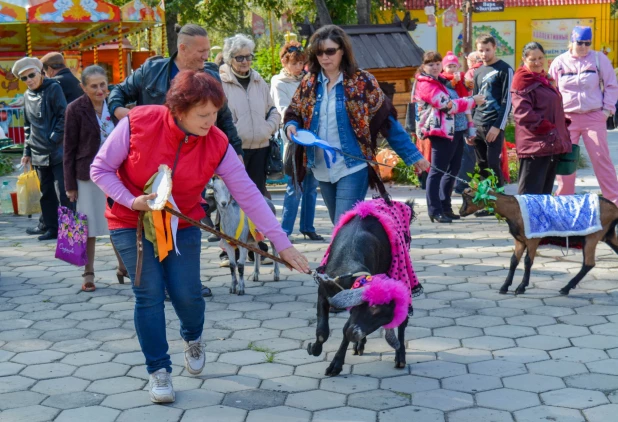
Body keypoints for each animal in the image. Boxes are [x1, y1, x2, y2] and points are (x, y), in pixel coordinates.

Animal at [454, 190, 616, 296]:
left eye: (467, 198)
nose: (460, 212)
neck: (513, 208)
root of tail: (615, 209)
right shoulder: (519, 241)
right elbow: (514, 261)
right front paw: (505, 287)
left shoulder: (533, 240)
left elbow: (527, 261)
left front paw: (521, 288)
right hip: (608, 235)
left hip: (592, 236)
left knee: (588, 263)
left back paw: (565, 288)